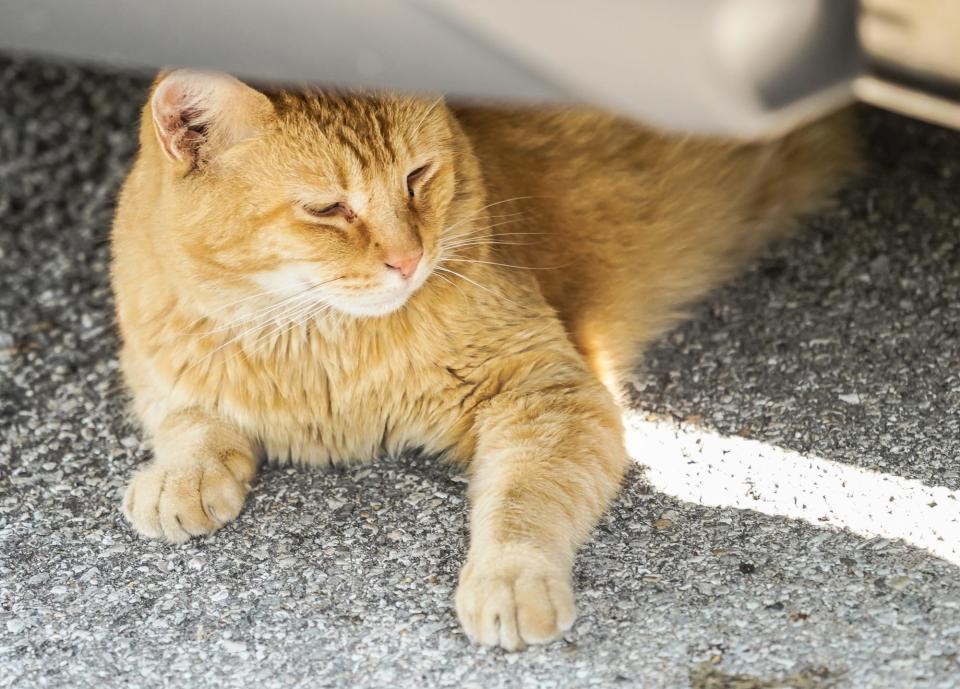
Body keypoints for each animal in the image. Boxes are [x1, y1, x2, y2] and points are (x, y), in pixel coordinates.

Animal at [112, 70, 856, 652]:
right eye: (328, 209)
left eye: (417, 176)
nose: (407, 258)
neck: (318, 346)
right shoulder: (157, 365)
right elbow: (189, 420)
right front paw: (181, 476)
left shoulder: (549, 393)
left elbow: (523, 501)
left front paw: (510, 577)